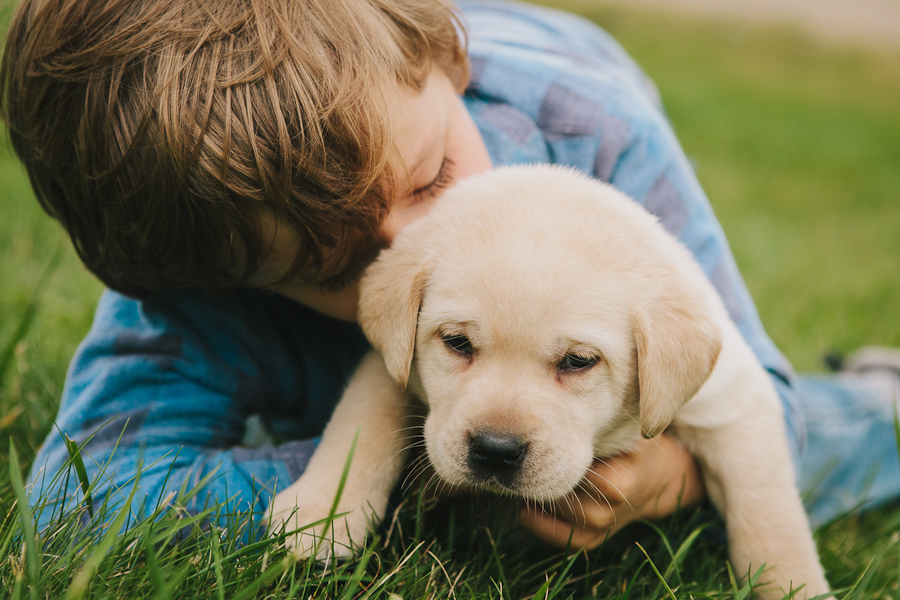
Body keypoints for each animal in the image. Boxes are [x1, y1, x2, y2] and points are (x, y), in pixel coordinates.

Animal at [270, 165, 832, 600]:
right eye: (457, 343)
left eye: (579, 361)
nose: (495, 451)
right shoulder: (391, 363)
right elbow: (361, 423)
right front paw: (321, 517)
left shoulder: (732, 399)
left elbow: (768, 517)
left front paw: (796, 586)